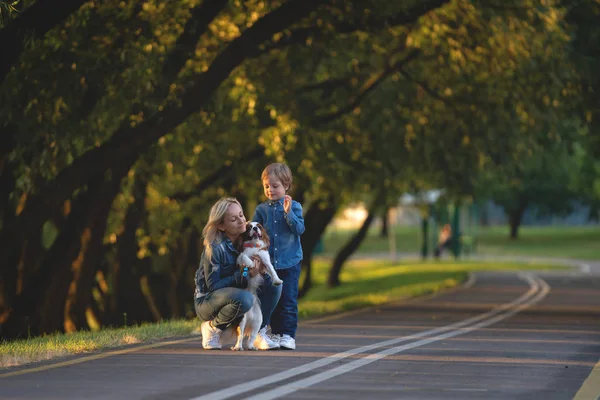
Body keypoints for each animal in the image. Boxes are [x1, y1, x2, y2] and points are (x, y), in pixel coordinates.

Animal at [232, 220, 284, 352]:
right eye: (249, 227)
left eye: (259, 226)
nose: (255, 228)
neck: (254, 246)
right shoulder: (240, 258)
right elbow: (244, 257)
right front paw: (250, 263)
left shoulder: (264, 260)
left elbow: (272, 270)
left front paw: (277, 280)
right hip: (242, 320)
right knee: (240, 336)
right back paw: (238, 347)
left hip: (258, 321)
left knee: (252, 336)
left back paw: (251, 347)